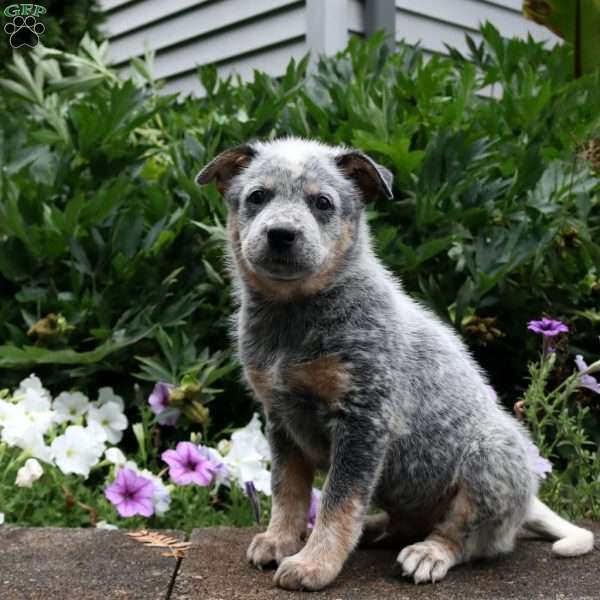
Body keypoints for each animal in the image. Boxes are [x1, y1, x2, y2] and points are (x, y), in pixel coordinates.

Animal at [198, 137, 596, 592]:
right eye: (257, 196)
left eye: (322, 202)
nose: (281, 233)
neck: (293, 317)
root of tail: (529, 499)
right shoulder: (281, 416)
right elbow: (288, 490)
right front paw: (280, 540)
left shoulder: (364, 419)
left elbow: (338, 501)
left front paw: (314, 563)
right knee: (406, 523)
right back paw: (375, 530)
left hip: (490, 457)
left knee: (469, 538)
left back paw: (428, 554)